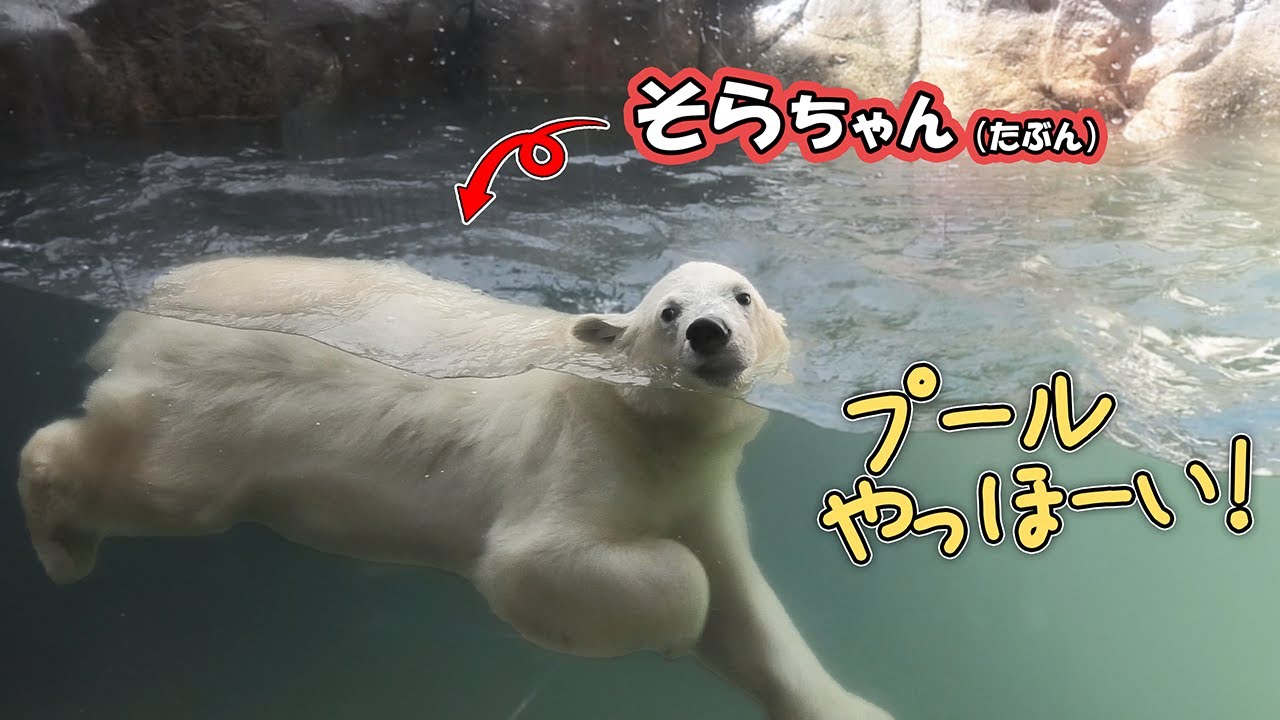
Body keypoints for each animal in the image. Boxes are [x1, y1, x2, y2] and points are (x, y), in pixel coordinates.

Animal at [16, 256, 892, 720]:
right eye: (669, 311)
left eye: (742, 296)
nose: (710, 334)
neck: (641, 426)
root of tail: (135, 311)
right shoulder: (576, 458)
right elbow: (544, 563)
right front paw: (679, 626)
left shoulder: (701, 491)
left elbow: (750, 615)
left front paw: (855, 706)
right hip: (213, 411)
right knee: (144, 478)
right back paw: (59, 538)